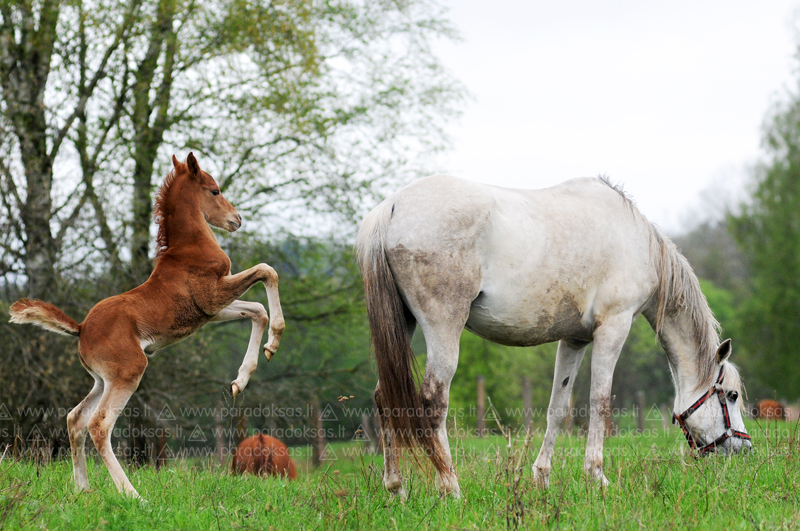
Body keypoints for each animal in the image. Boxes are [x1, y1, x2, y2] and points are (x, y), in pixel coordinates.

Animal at [8, 153, 284, 498]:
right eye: (215, 190)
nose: (237, 219)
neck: (190, 247)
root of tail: (82, 327)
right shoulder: (213, 296)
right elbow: (267, 271)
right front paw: (276, 336)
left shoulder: (210, 310)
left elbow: (258, 311)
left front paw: (244, 377)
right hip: (129, 372)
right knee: (98, 425)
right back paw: (132, 494)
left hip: (102, 380)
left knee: (75, 419)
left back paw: (83, 489)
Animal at [360, 175, 752, 498]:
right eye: (731, 396)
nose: (744, 449)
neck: (636, 240)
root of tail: (390, 208)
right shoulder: (614, 327)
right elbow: (600, 401)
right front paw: (597, 476)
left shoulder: (574, 340)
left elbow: (558, 408)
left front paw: (542, 476)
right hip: (444, 327)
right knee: (432, 401)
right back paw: (450, 487)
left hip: (404, 323)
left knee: (384, 397)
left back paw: (396, 488)